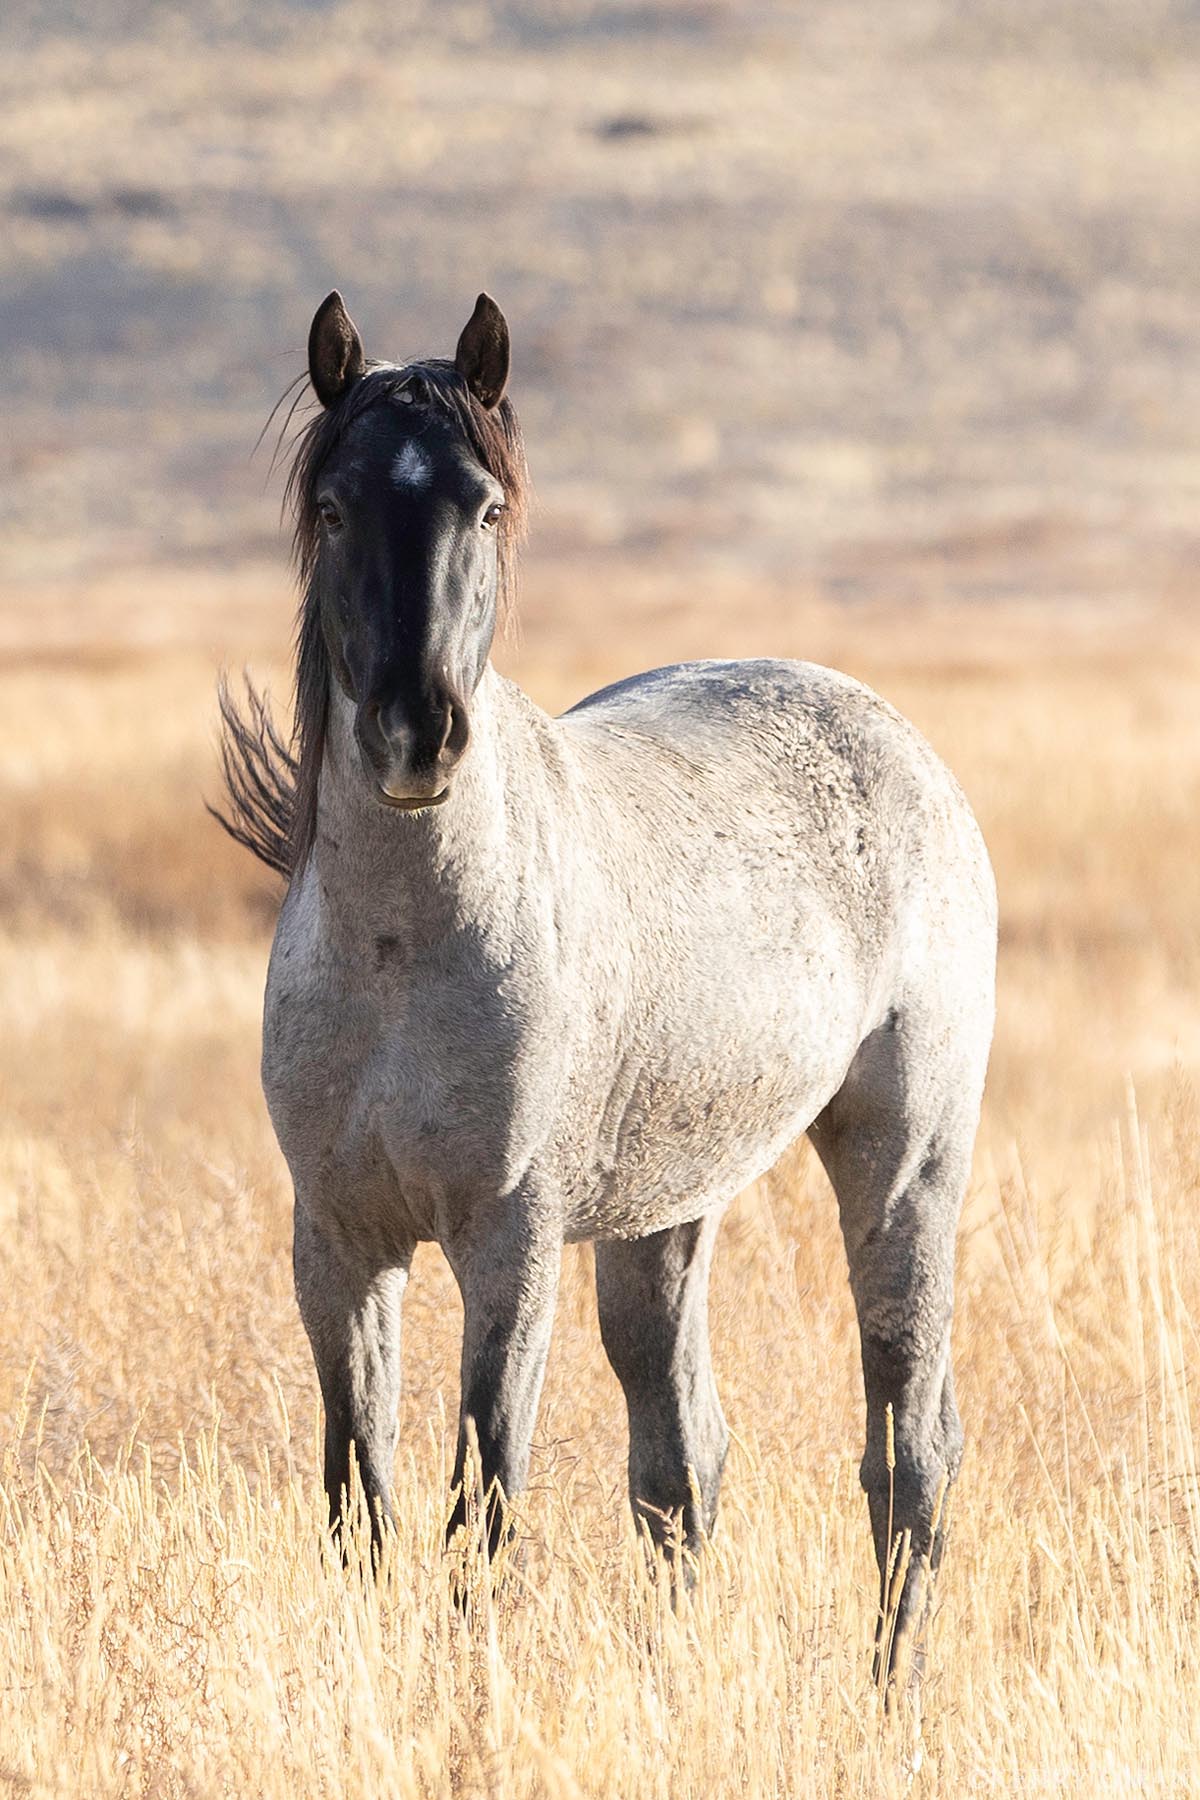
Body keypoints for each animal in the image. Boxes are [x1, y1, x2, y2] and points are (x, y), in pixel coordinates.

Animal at [215, 289, 997, 1683]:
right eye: (335, 508)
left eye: (485, 506)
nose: (417, 735)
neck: (400, 959)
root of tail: (895, 737)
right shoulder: (339, 1246)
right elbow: (360, 1504)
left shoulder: (506, 1245)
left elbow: (481, 1503)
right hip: (662, 1218)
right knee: (684, 1460)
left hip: (904, 1163)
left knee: (910, 1447)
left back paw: (890, 1690)